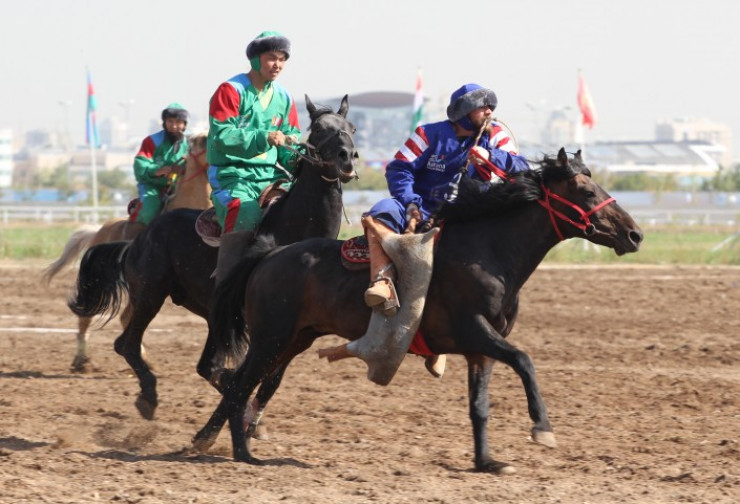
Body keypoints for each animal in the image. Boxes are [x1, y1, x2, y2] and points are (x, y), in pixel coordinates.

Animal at [42, 132, 210, 372]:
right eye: (202, 141)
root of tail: (99, 231)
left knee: (125, 318)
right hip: (100, 284)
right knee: (88, 317)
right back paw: (82, 360)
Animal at [68, 95, 359, 420]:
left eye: (352, 128)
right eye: (319, 129)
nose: (347, 157)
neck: (295, 228)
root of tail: (136, 241)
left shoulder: (294, 329)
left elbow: (270, 378)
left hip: (204, 311)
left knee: (202, 365)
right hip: (150, 295)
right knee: (127, 344)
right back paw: (147, 395)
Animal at [191, 148, 644, 474]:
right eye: (587, 192)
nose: (635, 234)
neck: (488, 251)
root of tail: (268, 256)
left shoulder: (481, 348)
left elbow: (479, 406)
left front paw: (486, 462)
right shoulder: (476, 331)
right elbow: (525, 361)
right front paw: (542, 429)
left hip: (294, 340)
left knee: (241, 383)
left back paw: (209, 439)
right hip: (272, 338)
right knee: (238, 384)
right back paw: (243, 454)